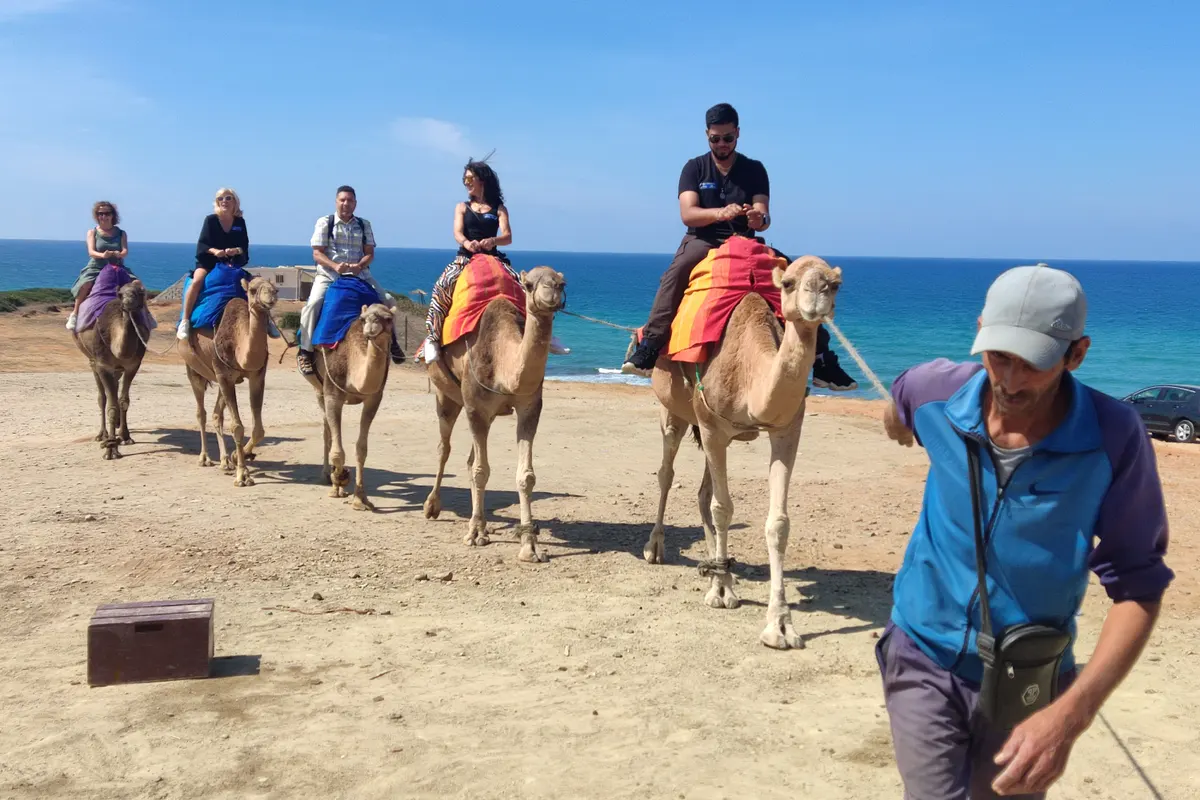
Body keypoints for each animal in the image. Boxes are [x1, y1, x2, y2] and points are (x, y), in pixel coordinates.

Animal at [74, 280, 150, 460]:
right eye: (120, 294)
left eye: (140, 292)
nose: (128, 301)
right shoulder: (103, 365)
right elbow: (111, 406)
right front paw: (110, 450)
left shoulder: (133, 365)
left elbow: (123, 401)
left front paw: (125, 437)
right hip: (92, 362)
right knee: (102, 397)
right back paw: (102, 436)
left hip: (117, 369)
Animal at [178, 276, 279, 487]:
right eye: (252, 290)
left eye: (276, 289)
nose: (270, 297)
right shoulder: (224, 376)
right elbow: (237, 427)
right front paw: (242, 475)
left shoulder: (257, 376)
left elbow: (258, 430)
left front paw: (237, 457)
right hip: (194, 371)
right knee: (201, 413)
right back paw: (205, 458)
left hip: (220, 379)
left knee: (217, 414)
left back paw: (225, 462)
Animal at [302, 303, 395, 511]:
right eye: (363, 319)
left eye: (388, 319)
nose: (371, 326)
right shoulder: (332, 394)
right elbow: (337, 451)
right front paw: (339, 479)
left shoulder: (374, 398)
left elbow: (362, 449)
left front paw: (360, 499)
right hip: (319, 390)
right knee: (327, 431)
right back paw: (329, 478)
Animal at [423, 266, 567, 563]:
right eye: (528, 284)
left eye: (562, 283)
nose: (551, 292)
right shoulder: (475, 406)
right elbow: (481, 470)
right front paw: (474, 535)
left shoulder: (529, 406)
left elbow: (526, 476)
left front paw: (529, 546)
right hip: (446, 395)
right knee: (444, 448)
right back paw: (432, 506)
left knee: (468, 458)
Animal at [644, 254, 843, 650]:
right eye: (788, 283)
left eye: (835, 284)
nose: (817, 295)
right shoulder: (711, 424)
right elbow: (723, 508)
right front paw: (721, 593)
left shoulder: (786, 429)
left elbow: (777, 523)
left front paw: (780, 625)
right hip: (675, 409)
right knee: (666, 473)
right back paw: (657, 548)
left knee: (703, 491)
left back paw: (714, 564)